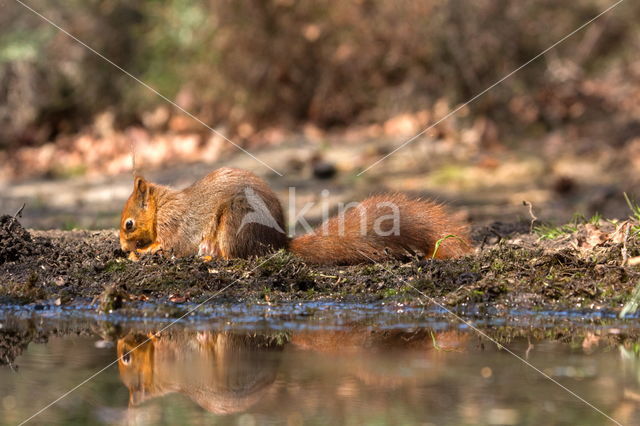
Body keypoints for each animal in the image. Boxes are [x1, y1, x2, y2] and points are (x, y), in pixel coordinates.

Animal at [120, 166, 470, 262]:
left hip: (235, 221)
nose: (122, 246)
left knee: (236, 255)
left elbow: (171, 245)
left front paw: (141, 252)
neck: (162, 205)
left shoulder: (175, 224)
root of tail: (278, 242)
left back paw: (211, 256)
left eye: (129, 224)